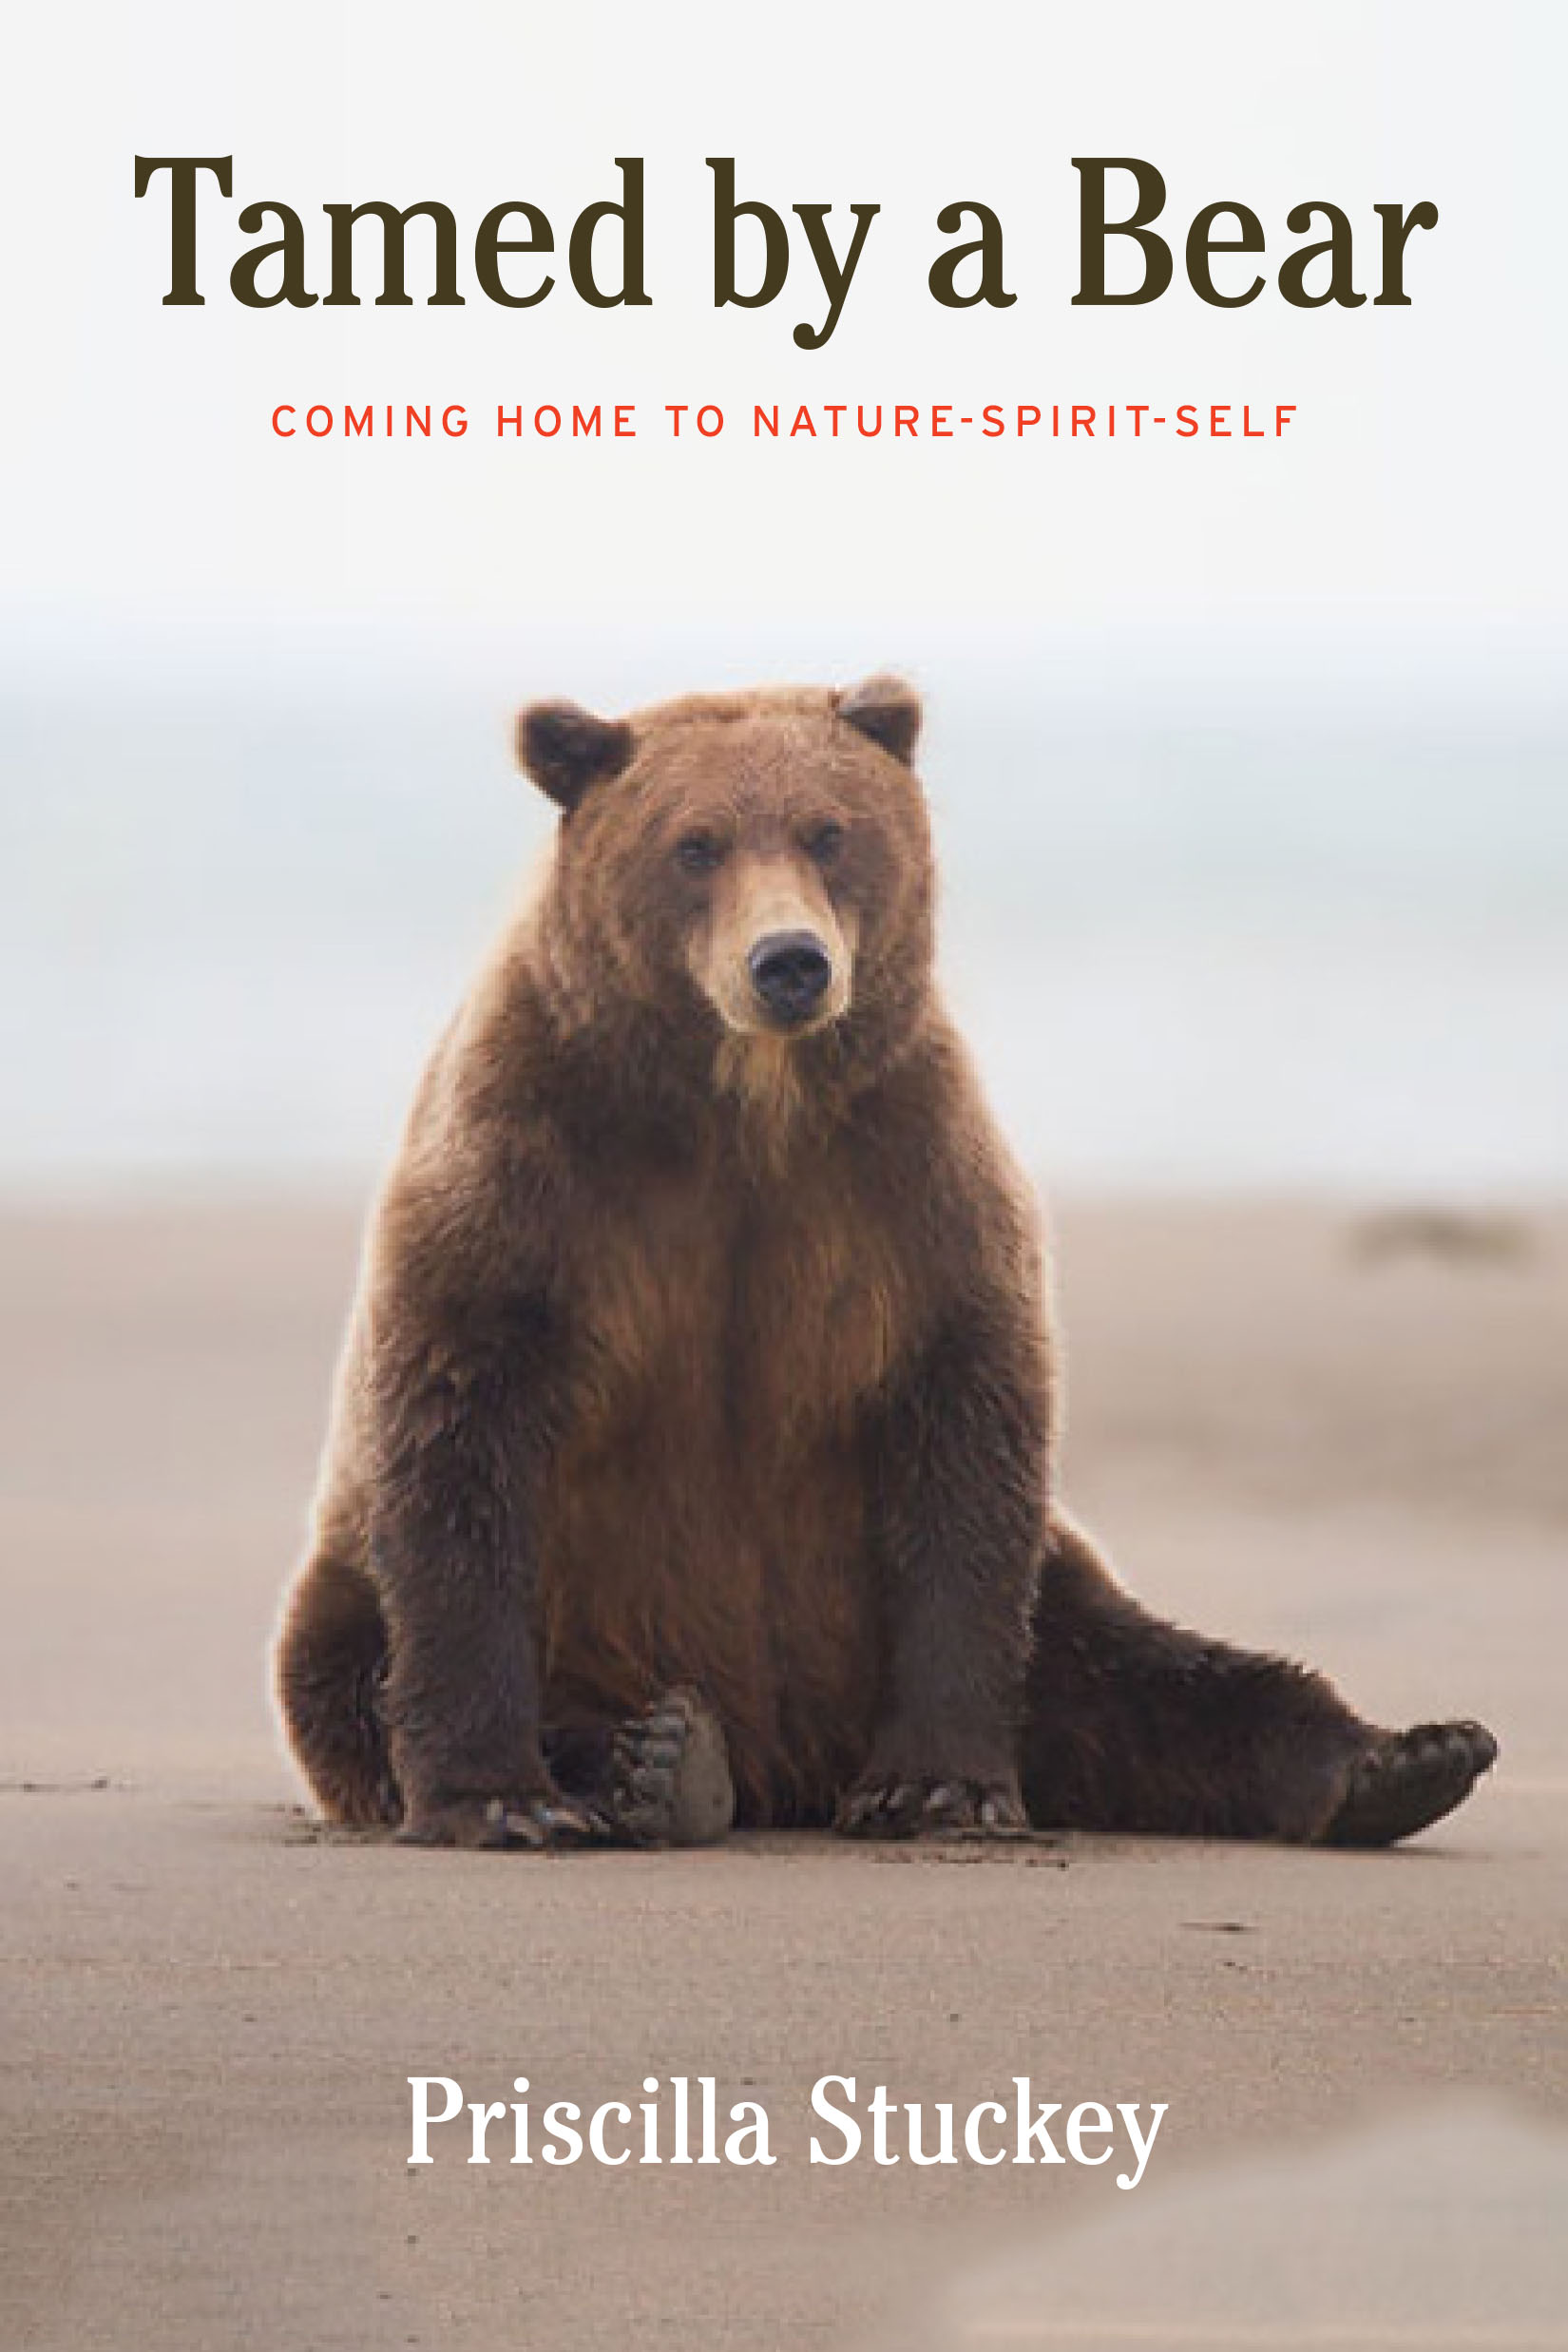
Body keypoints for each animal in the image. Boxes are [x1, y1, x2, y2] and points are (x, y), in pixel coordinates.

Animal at [275, 677, 1497, 1851]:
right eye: (695, 844)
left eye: (829, 831)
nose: (789, 963)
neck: (741, 1111)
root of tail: (793, 1764)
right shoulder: (536, 1171)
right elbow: (464, 1432)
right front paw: (501, 1800)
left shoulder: (905, 1183)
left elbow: (962, 1435)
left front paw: (937, 1787)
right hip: (402, 1605)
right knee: (353, 1674)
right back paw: (659, 1760)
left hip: (1026, 1611)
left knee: (1150, 1674)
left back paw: (1404, 1759)